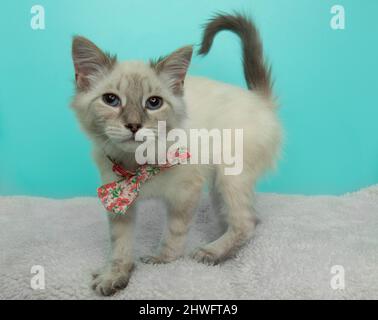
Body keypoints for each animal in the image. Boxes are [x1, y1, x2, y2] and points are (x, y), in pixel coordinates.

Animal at [72, 13, 282, 296]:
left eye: (154, 103)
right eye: (111, 100)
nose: (134, 125)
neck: (138, 164)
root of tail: (258, 99)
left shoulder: (185, 194)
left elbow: (174, 233)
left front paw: (162, 260)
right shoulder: (118, 199)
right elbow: (120, 245)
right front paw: (114, 275)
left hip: (229, 177)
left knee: (247, 223)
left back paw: (212, 252)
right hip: (219, 187)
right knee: (244, 218)